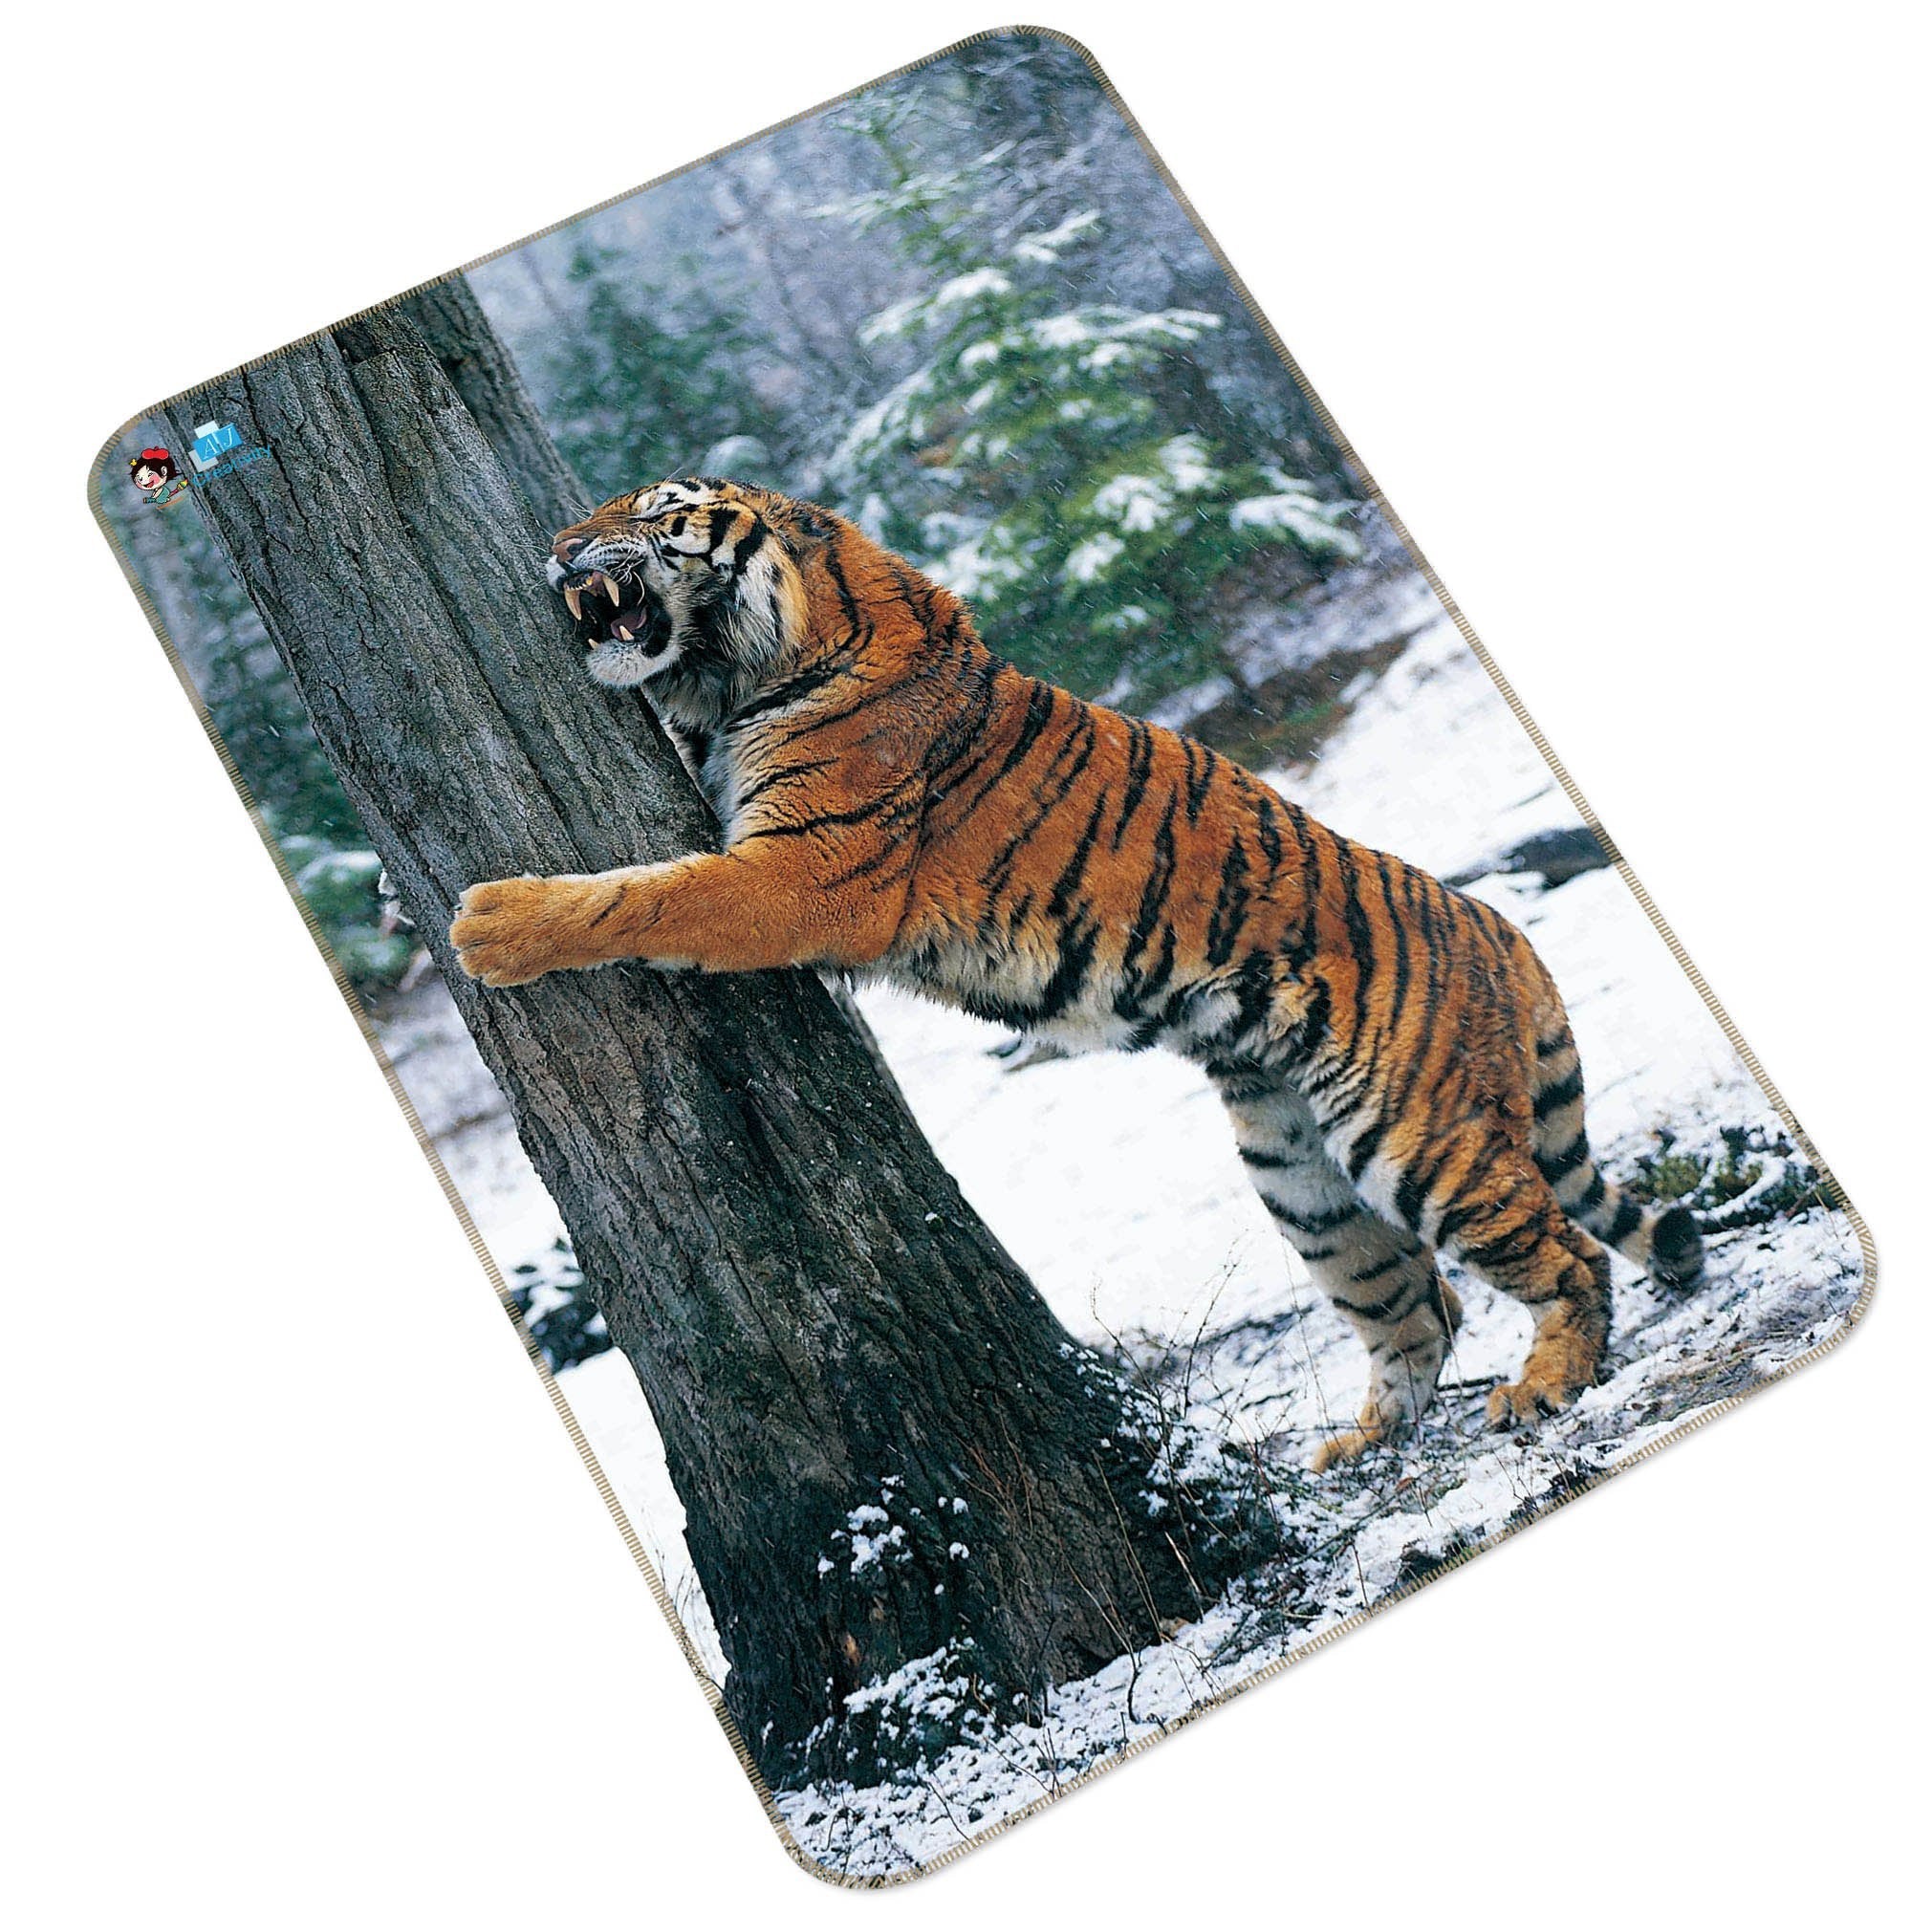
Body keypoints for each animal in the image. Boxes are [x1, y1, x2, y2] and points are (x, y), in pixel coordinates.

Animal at [450, 476, 1705, 1470]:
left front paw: (490, 923)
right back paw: (1358, 1443)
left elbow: (649, 892)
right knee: (1417, 1305)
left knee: (1564, 1254)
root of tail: (1502, 931)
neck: (752, 664)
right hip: (1296, 1171)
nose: (558, 547)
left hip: (1413, 1139)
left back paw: (1543, 1385)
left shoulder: (802, 874)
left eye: (655, 513)